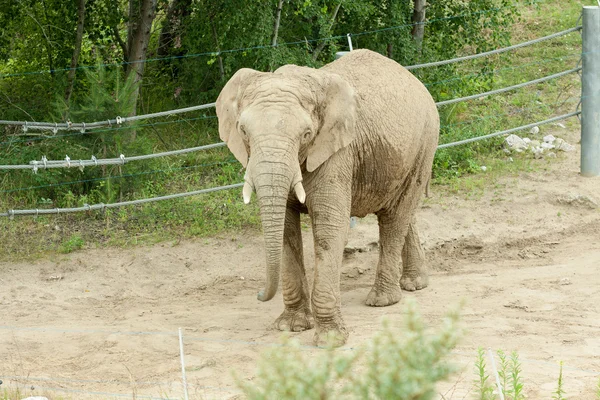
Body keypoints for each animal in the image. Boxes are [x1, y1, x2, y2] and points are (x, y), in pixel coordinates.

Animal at [213, 48, 438, 346]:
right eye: (243, 131)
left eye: (306, 134)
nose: (259, 295)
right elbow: (286, 229)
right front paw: (291, 327)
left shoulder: (337, 152)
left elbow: (330, 229)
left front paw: (330, 340)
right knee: (402, 211)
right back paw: (415, 284)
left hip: (425, 141)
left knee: (395, 216)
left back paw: (382, 300)